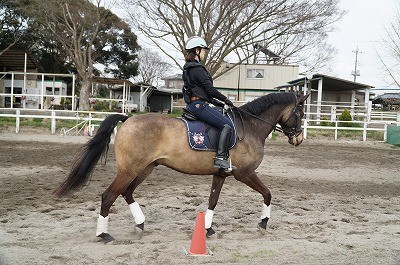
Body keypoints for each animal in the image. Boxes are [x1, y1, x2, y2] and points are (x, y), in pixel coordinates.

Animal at [54, 91, 308, 241]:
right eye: (301, 112)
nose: (298, 139)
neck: (250, 127)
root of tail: (128, 119)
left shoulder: (221, 174)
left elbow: (212, 201)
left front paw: (207, 229)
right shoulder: (245, 174)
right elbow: (268, 194)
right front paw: (263, 223)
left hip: (145, 168)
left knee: (127, 193)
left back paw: (140, 224)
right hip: (130, 169)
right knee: (109, 196)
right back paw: (104, 234)